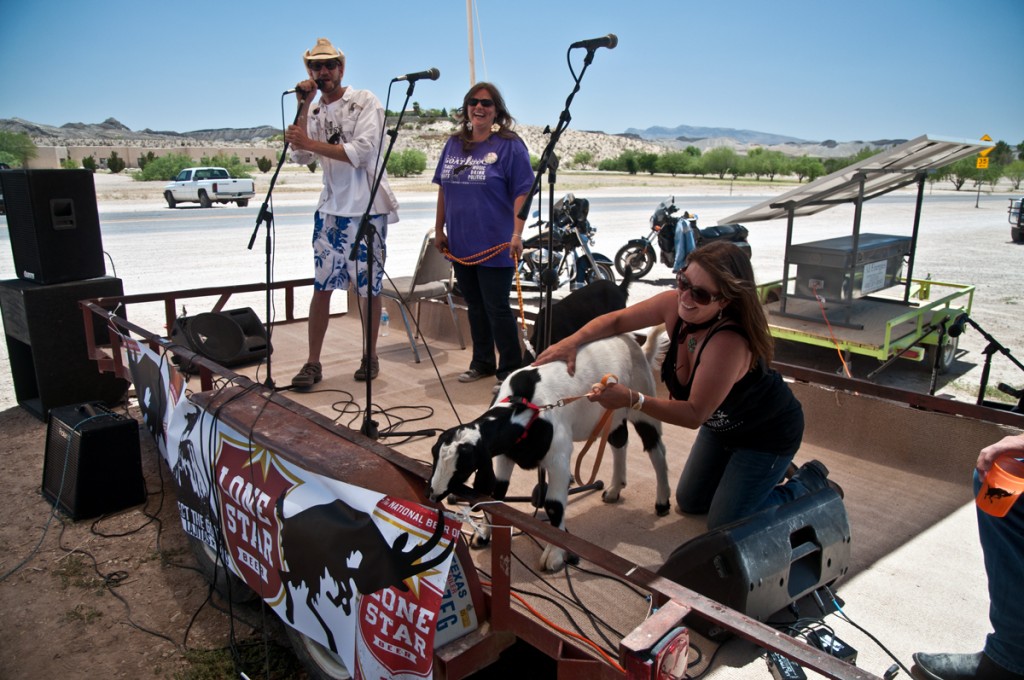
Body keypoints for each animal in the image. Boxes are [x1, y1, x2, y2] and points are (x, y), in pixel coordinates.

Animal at [425, 337, 671, 569]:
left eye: (463, 467)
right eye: (434, 455)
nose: (433, 494)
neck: (525, 409)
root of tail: (635, 344)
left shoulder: (559, 459)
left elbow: (554, 505)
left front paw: (554, 556)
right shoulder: (506, 455)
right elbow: (496, 495)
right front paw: (484, 535)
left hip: (643, 404)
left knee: (656, 449)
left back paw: (662, 501)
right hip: (611, 417)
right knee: (619, 441)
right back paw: (614, 489)